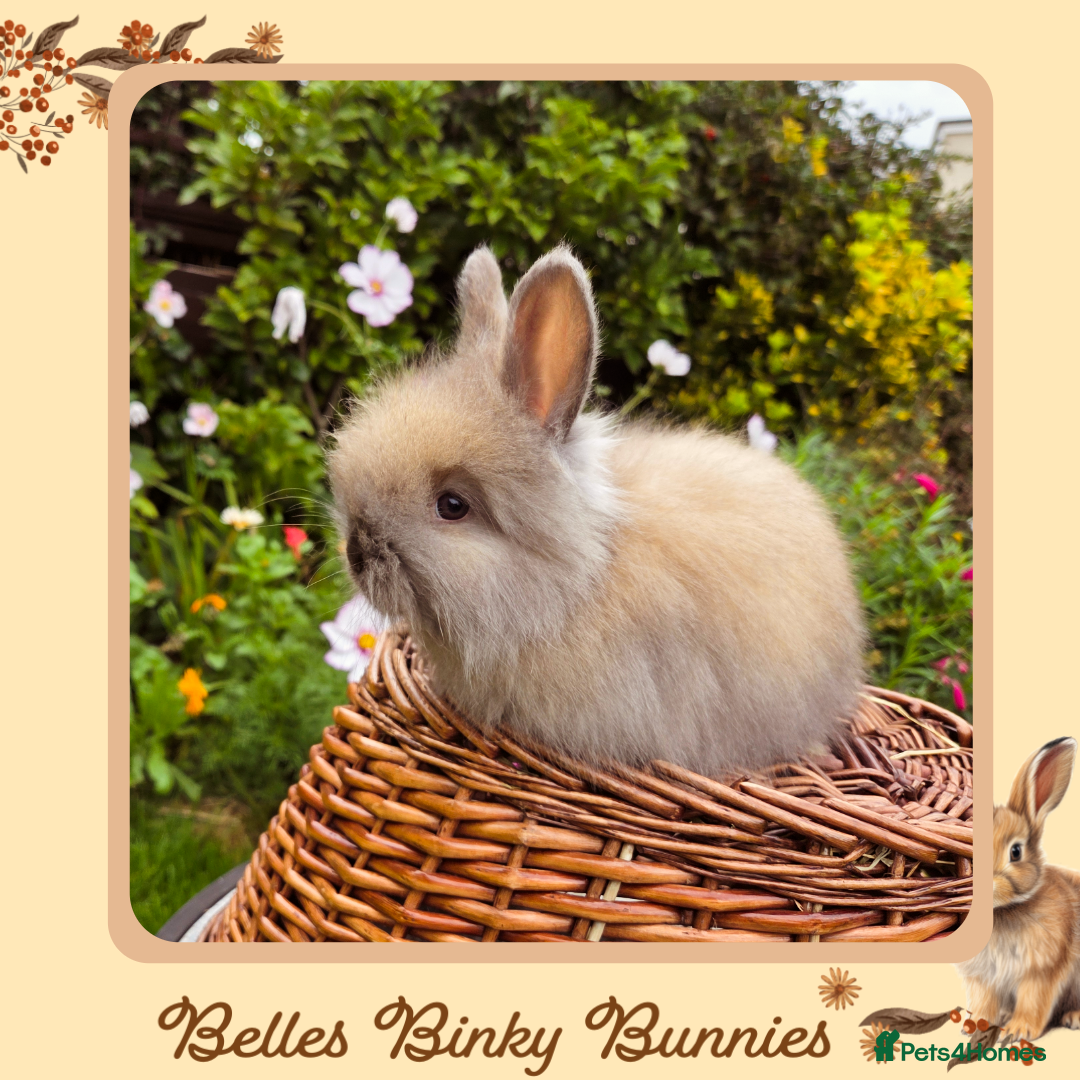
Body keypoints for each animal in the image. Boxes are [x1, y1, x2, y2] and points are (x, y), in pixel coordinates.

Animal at [957, 737, 1080, 1041]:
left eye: (1015, 851)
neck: (1001, 913)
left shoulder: (1041, 971)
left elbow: (1033, 1001)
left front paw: (1016, 1032)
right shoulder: (983, 977)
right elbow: (984, 1001)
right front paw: (973, 1025)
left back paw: (1073, 1017)